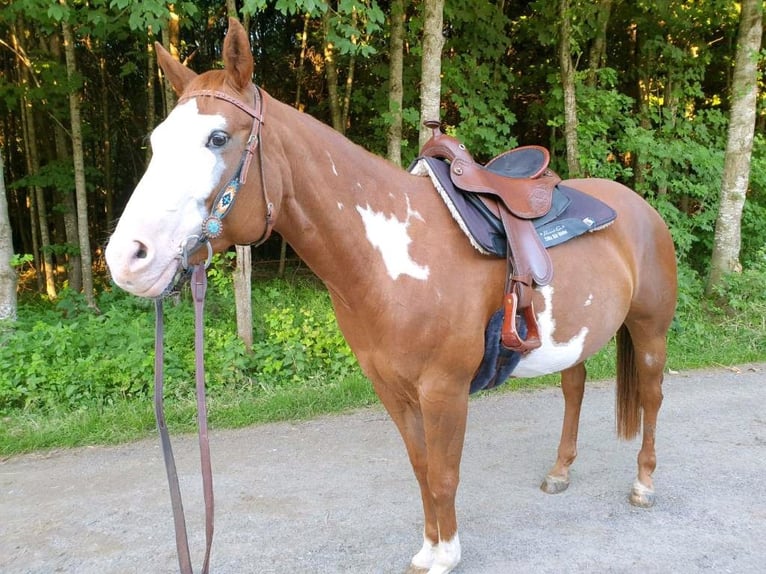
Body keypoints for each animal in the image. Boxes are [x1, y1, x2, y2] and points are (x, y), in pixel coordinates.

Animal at [105, 18, 677, 574]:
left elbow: (444, 475)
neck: (389, 260)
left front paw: (447, 556)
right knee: (573, 389)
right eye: (157, 141)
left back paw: (644, 484)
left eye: (218, 137)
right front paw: (430, 548)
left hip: (650, 330)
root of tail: (641, 208)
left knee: (651, 397)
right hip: (573, 340)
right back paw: (560, 472)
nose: (127, 258)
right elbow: (422, 470)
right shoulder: (393, 389)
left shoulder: (444, 391)